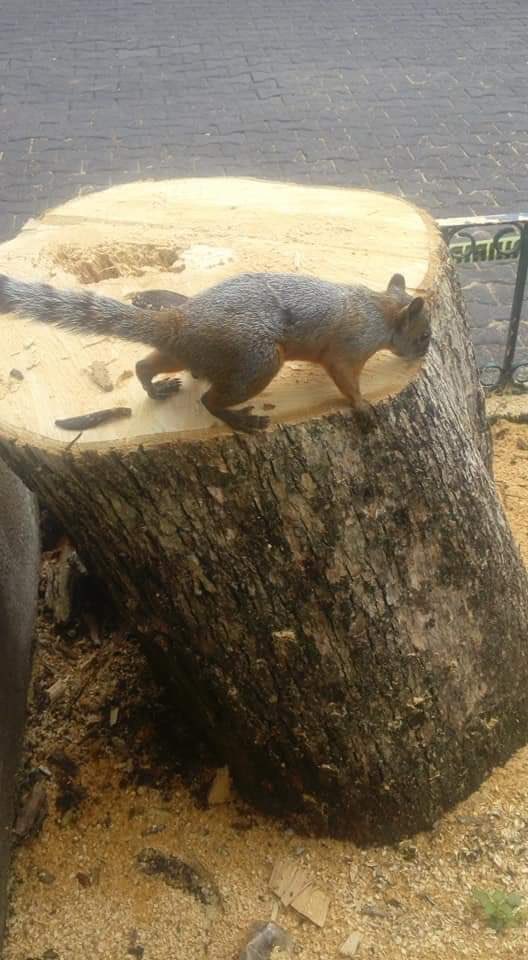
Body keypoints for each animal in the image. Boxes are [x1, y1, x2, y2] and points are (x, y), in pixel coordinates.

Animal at [0, 271, 430, 433]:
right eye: (423, 335)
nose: (423, 354)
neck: (380, 311)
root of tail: (179, 321)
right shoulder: (347, 348)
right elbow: (344, 378)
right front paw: (361, 405)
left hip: (187, 353)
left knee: (145, 363)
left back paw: (155, 387)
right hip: (257, 360)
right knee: (209, 400)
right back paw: (239, 419)